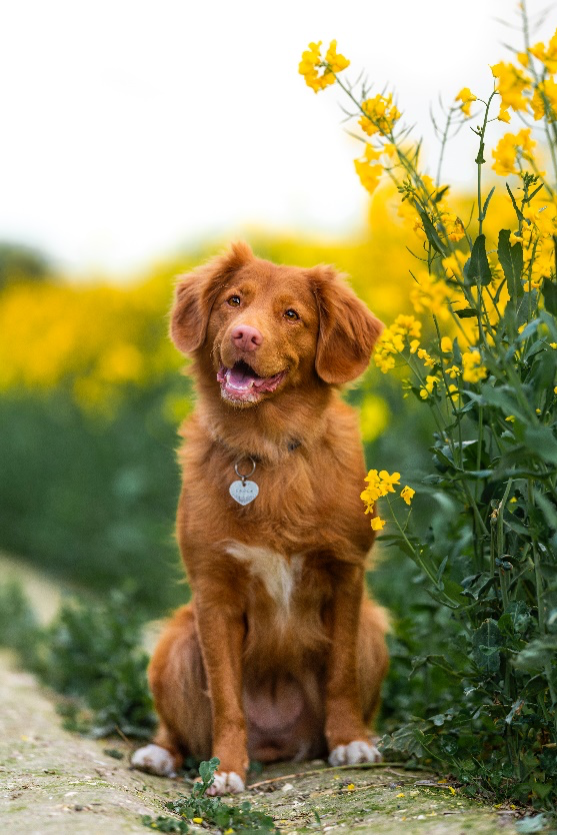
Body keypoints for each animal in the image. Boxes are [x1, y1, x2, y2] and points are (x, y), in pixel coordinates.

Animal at [130, 241, 390, 796]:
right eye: (234, 300)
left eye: (292, 314)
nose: (243, 335)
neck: (265, 448)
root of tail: (277, 744)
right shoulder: (214, 593)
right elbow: (226, 700)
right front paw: (226, 768)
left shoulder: (346, 574)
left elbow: (340, 674)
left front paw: (350, 742)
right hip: (175, 641)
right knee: (180, 730)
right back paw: (160, 754)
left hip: (374, 629)